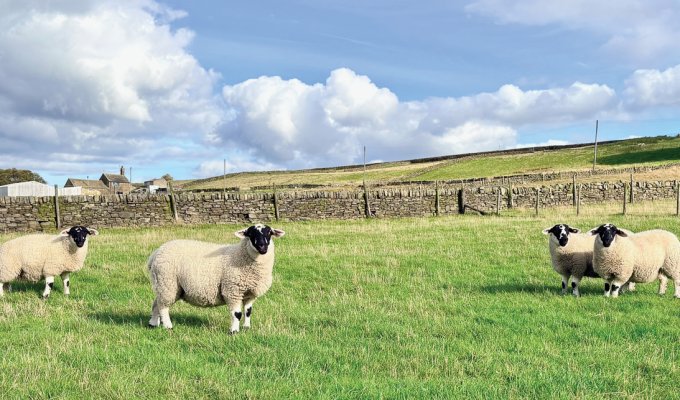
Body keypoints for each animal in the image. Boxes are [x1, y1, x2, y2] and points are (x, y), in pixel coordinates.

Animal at [147, 223, 285, 333]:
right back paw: (168, 326)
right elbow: (237, 314)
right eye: (250, 234)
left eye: (270, 233)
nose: (262, 246)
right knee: (163, 306)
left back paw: (153, 323)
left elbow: (248, 311)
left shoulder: (249, 293)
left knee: (156, 303)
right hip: (167, 282)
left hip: (165, 285)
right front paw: (234, 331)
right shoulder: (232, 290)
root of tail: (156, 253)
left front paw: (246, 328)